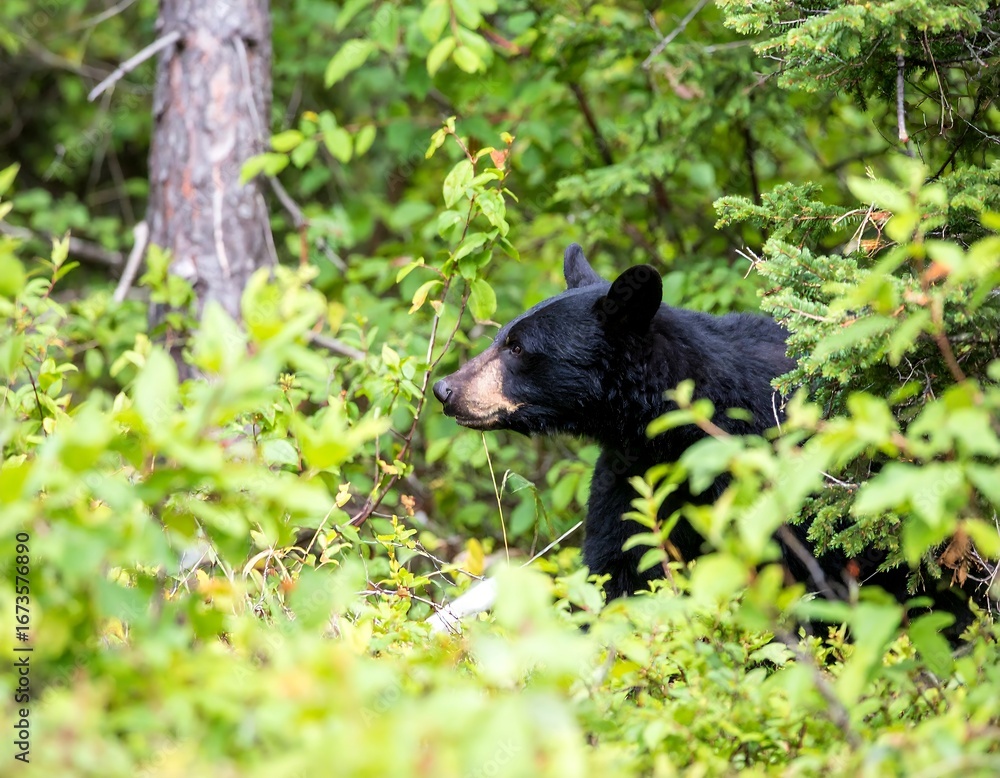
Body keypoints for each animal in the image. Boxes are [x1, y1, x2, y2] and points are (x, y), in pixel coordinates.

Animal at [432, 244, 977, 634]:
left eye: (519, 348)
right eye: (501, 335)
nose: (445, 389)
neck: (680, 433)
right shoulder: (633, 475)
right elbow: (619, 568)